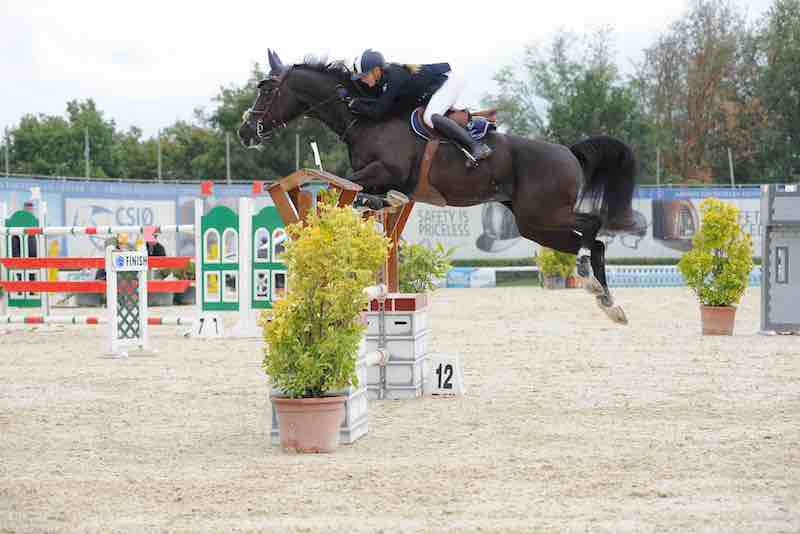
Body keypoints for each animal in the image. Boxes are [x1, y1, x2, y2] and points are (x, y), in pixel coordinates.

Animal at [236, 50, 644, 324]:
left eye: (266, 91)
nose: (244, 132)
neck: (366, 119)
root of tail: (569, 151)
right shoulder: (379, 178)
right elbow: (367, 196)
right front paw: (373, 204)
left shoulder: (382, 170)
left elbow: (349, 187)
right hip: (534, 223)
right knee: (594, 243)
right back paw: (609, 303)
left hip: (545, 212)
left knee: (592, 229)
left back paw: (591, 280)